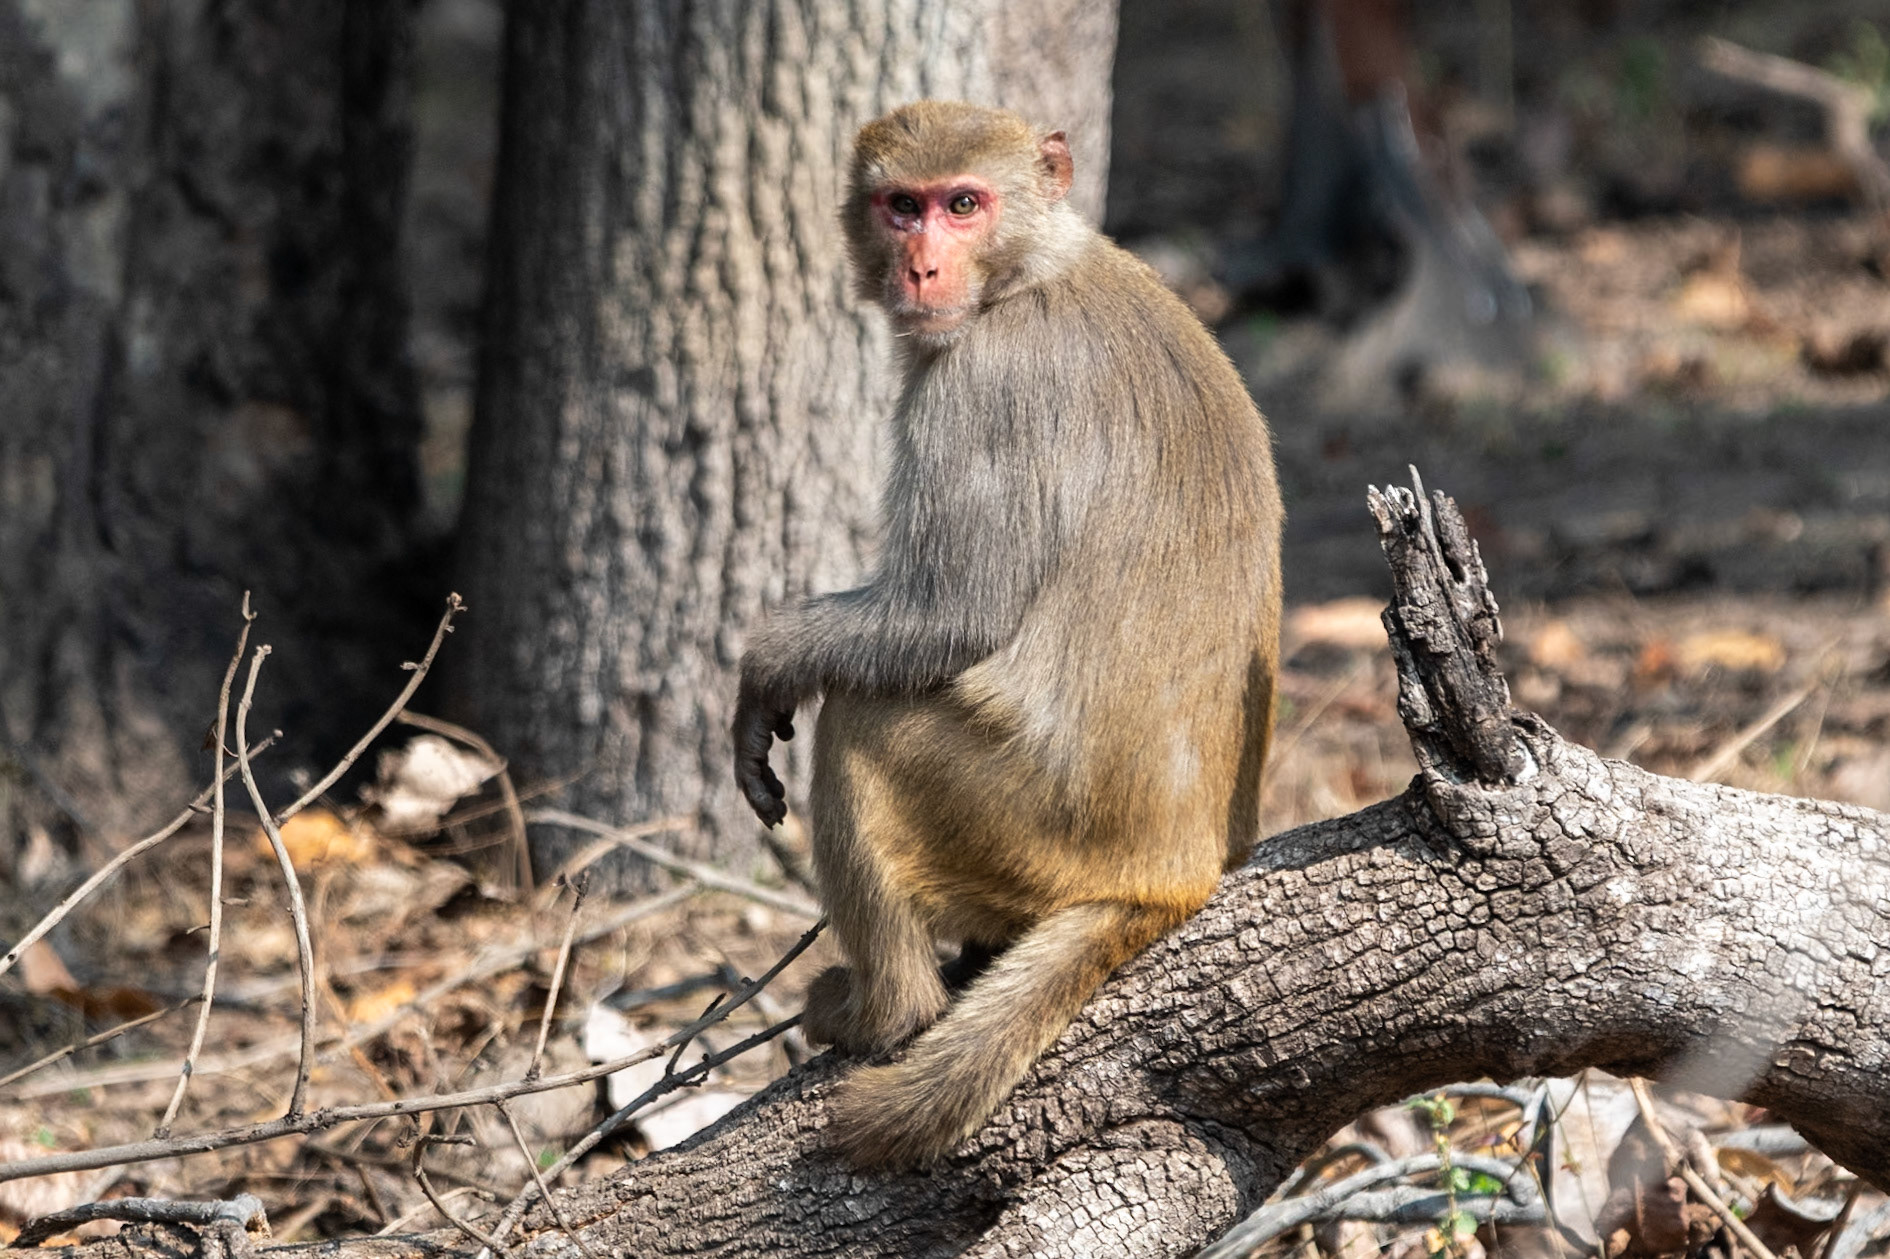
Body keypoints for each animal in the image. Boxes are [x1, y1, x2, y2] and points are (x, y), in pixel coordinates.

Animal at [733, 100, 1283, 1168]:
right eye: (902, 207)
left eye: (964, 205)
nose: (921, 268)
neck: (1029, 272)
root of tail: (1175, 870)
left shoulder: (983, 388)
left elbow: (954, 614)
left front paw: (765, 665)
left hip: (1029, 824)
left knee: (861, 720)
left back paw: (890, 1014)